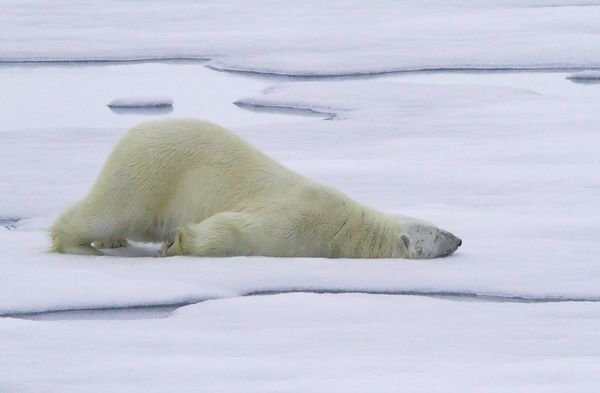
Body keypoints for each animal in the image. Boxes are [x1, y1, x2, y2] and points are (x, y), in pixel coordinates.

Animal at [51, 118, 462, 258]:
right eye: (436, 232)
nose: (459, 239)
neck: (349, 229)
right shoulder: (298, 222)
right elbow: (234, 229)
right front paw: (179, 243)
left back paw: (111, 242)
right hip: (150, 173)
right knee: (111, 211)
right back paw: (80, 245)